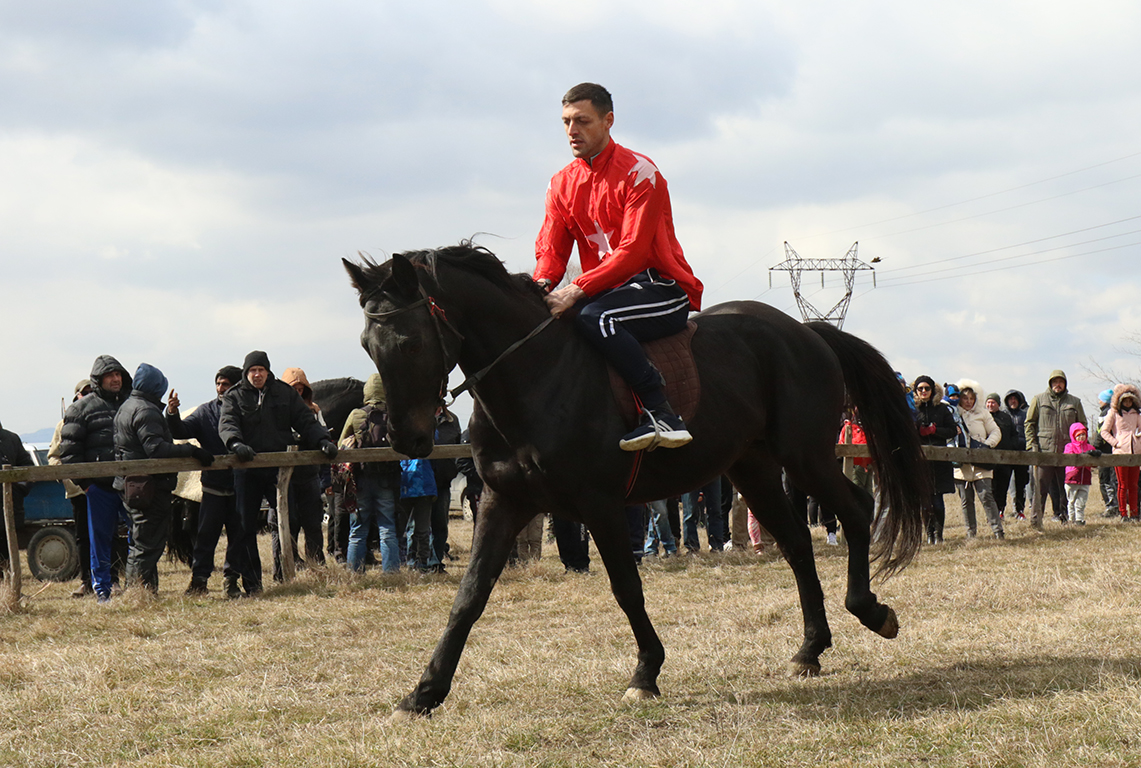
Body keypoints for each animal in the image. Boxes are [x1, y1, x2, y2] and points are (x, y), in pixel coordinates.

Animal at [342, 243, 931, 716]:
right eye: (369, 345)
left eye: (411, 343)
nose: (407, 440)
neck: (535, 375)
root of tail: (805, 331)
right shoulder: (502, 502)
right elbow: (469, 596)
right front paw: (424, 692)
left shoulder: (600, 504)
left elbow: (626, 588)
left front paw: (645, 673)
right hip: (754, 469)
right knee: (795, 545)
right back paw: (810, 649)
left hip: (804, 457)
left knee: (854, 510)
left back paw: (871, 610)